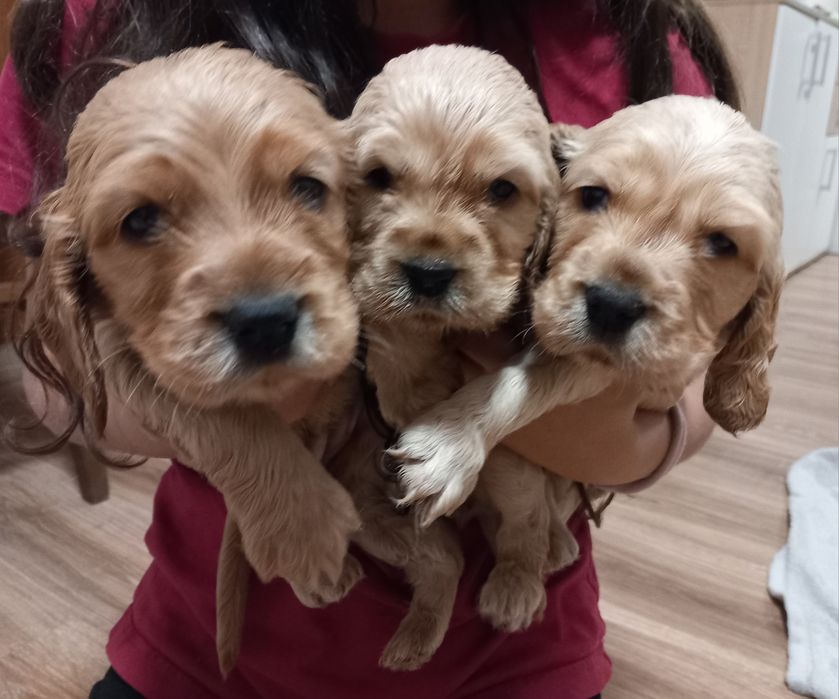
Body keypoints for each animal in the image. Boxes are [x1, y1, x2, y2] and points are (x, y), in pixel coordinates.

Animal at [14, 45, 365, 673]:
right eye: (139, 220)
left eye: (308, 187)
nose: (265, 321)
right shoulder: (130, 356)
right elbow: (225, 421)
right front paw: (305, 530)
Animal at [343, 45, 582, 670]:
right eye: (379, 177)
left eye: (502, 190)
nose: (428, 274)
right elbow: (389, 322)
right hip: (365, 498)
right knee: (443, 560)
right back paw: (412, 641)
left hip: (507, 467)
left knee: (528, 521)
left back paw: (523, 579)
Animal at [391, 95, 784, 527]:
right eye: (594, 196)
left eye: (723, 243)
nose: (611, 305)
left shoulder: (613, 370)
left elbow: (526, 383)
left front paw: (450, 441)